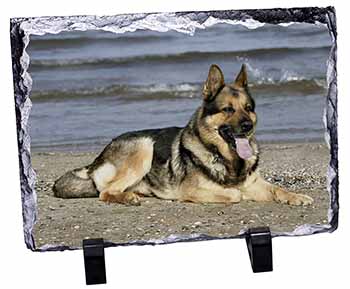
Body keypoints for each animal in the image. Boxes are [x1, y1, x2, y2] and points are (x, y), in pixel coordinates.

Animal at [52, 64, 314, 206]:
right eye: (228, 109)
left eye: (248, 108)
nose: (248, 126)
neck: (225, 157)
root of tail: (97, 158)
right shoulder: (194, 190)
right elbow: (234, 194)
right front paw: (237, 194)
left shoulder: (255, 182)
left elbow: (277, 189)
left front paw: (297, 196)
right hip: (144, 146)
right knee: (105, 192)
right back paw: (128, 198)